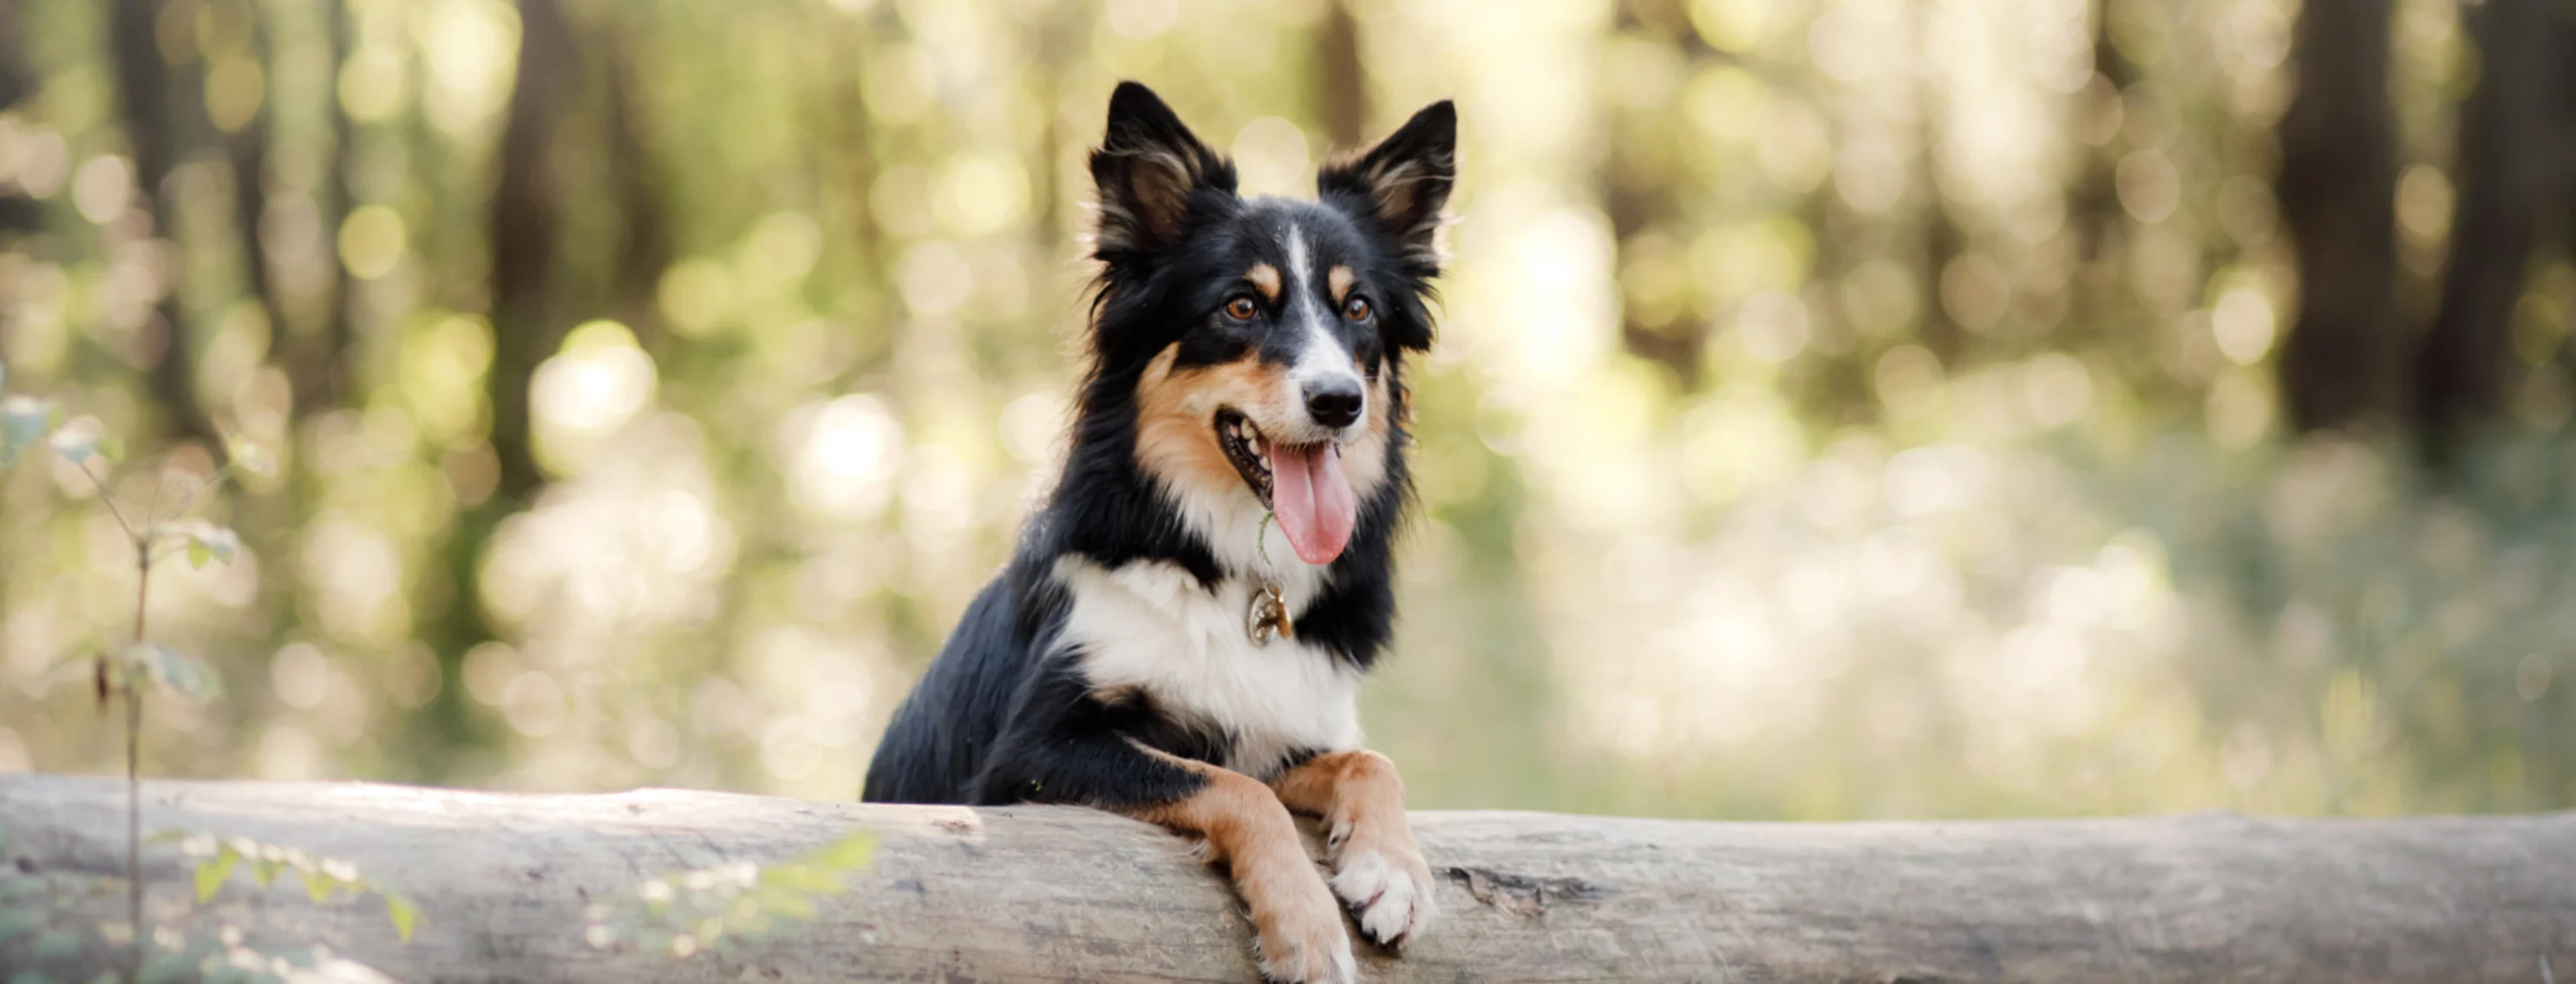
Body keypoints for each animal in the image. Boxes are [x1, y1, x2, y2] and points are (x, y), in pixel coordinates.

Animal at [860, 81, 1453, 979]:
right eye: (1241, 305)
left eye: (1358, 310)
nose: (1339, 401)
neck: (1231, 570)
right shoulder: (1032, 753)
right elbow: (1233, 789)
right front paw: (1307, 932)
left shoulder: (1281, 727)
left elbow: (1365, 760)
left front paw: (1394, 871)